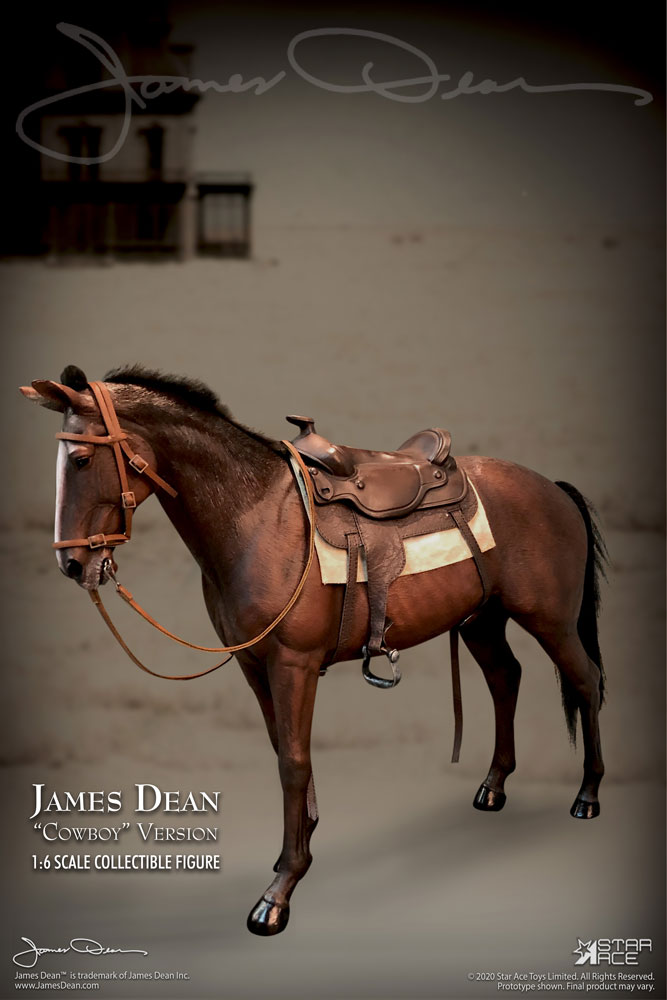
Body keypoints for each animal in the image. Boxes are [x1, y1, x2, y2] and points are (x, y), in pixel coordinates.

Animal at [20, 364, 607, 937]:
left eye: (81, 458)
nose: (72, 564)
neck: (256, 519)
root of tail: (553, 487)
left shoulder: (293, 664)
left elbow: (294, 764)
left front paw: (280, 889)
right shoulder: (253, 665)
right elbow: (282, 749)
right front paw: (302, 838)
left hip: (551, 621)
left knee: (585, 680)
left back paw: (587, 796)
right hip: (481, 620)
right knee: (506, 677)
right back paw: (493, 786)